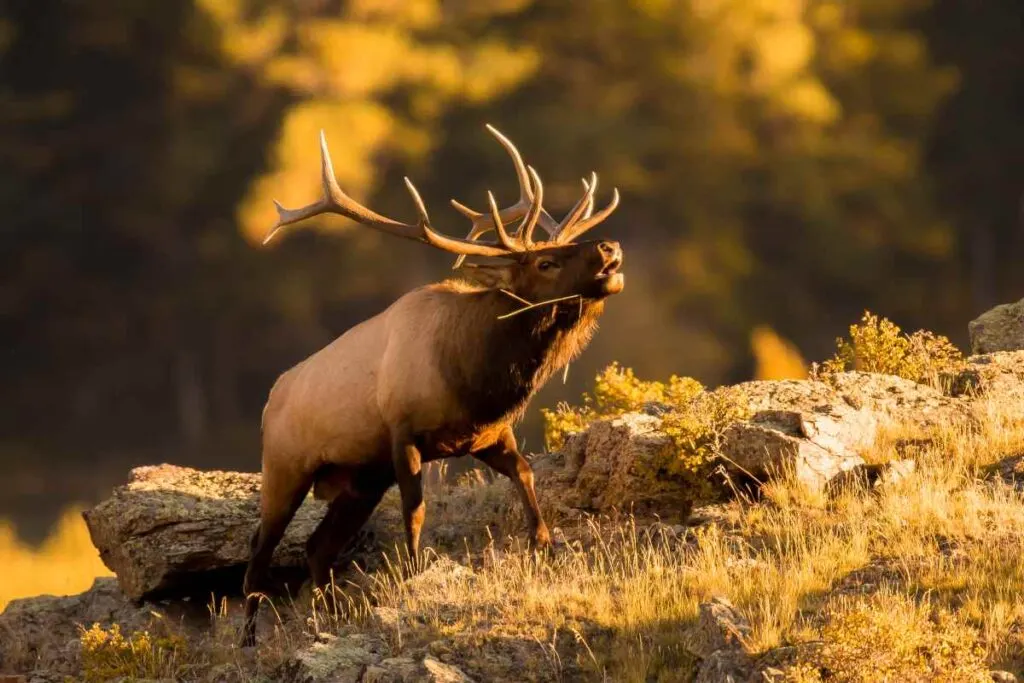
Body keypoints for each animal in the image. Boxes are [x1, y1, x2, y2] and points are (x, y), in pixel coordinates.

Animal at [241, 124, 623, 646]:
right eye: (545, 262)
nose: (609, 248)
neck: (473, 376)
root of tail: (267, 402)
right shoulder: (404, 434)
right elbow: (417, 511)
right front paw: (415, 572)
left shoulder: (488, 435)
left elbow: (525, 474)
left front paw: (545, 547)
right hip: (285, 467)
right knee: (258, 557)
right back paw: (248, 640)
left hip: (360, 479)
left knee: (318, 547)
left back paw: (331, 617)